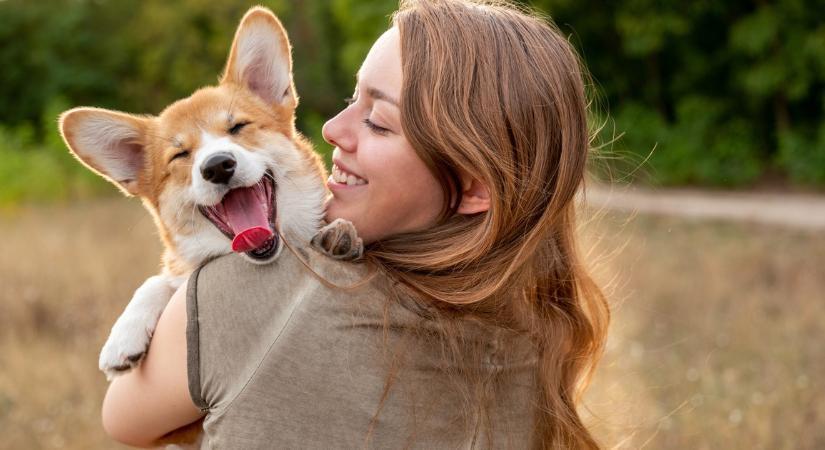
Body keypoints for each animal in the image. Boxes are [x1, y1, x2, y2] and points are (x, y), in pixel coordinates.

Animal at [58, 7, 360, 382]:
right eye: (180, 155)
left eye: (237, 127)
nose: (217, 166)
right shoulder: (180, 271)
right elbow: (159, 280)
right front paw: (123, 336)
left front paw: (339, 235)